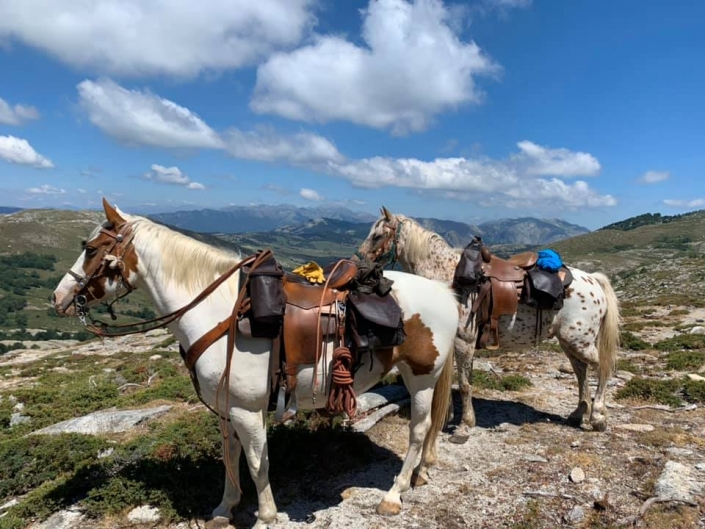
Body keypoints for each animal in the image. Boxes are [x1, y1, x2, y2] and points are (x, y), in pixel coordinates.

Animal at [53, 199, 462, 528]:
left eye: (91, 249)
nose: (59, 297)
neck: (219, 311)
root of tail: (444, 292)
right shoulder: (226, 408)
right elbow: (230, 456)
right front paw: (224, 508)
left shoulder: (248, 410)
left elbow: (256, 463)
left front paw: (265, 516)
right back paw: (420, 475)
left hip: (422, 378)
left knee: (419, 429)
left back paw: (394, 494)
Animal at [358, 208, 620, 440]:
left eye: (377, 235)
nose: (358, 261)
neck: (446, 278)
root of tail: (593, 280)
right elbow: (449, 381)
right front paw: (446, 418)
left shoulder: (464, 341)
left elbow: (465, 384)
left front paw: (464, 426)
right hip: (569, 342)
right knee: (581, 370)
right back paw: (578, 413)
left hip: (580, 342)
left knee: (602, 367)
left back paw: (598, 417)